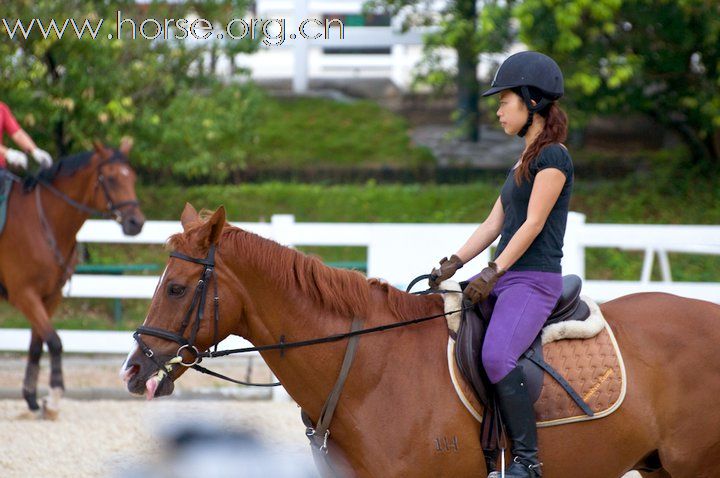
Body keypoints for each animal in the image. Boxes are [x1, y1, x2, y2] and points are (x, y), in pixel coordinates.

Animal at [1, 139, 146, 418]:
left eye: (133, 177)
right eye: (110, 178)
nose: (136, 223)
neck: (41, 222)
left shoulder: (50, 296)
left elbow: (37, 345)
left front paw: (33, 399)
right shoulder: (24, 294)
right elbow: (55, 342)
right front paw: (54, 397)